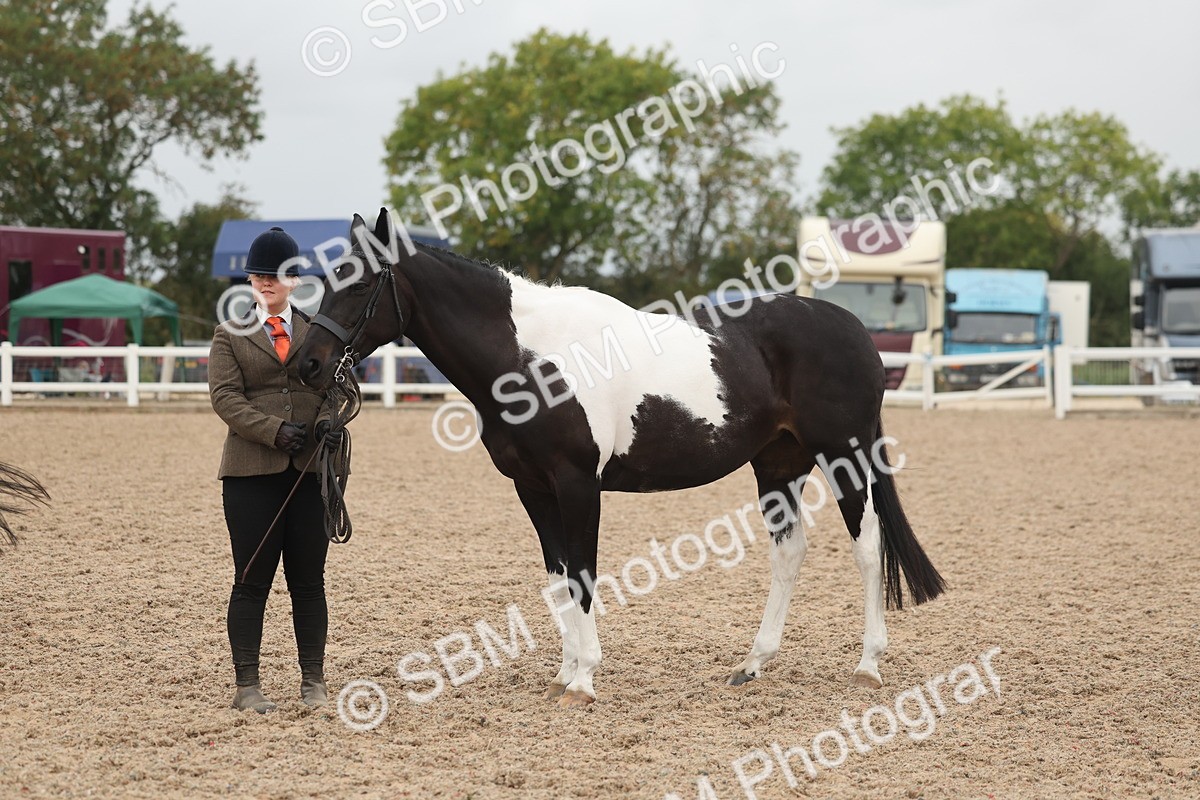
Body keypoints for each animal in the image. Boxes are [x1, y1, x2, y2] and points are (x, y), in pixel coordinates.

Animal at [296, 209, 945, 706]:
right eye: (329, 278)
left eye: (359, 285)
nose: (307, 364)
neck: (531, 358)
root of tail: (853, 329)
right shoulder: (533, 488)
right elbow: (559, 578)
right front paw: (563, 674)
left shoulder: (577, 482)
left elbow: (584, 574)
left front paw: (583, 680)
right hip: (779, 466)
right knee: (790, 552)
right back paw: (752, 664)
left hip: (844, 456)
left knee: (868, 546)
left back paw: (867, 665)